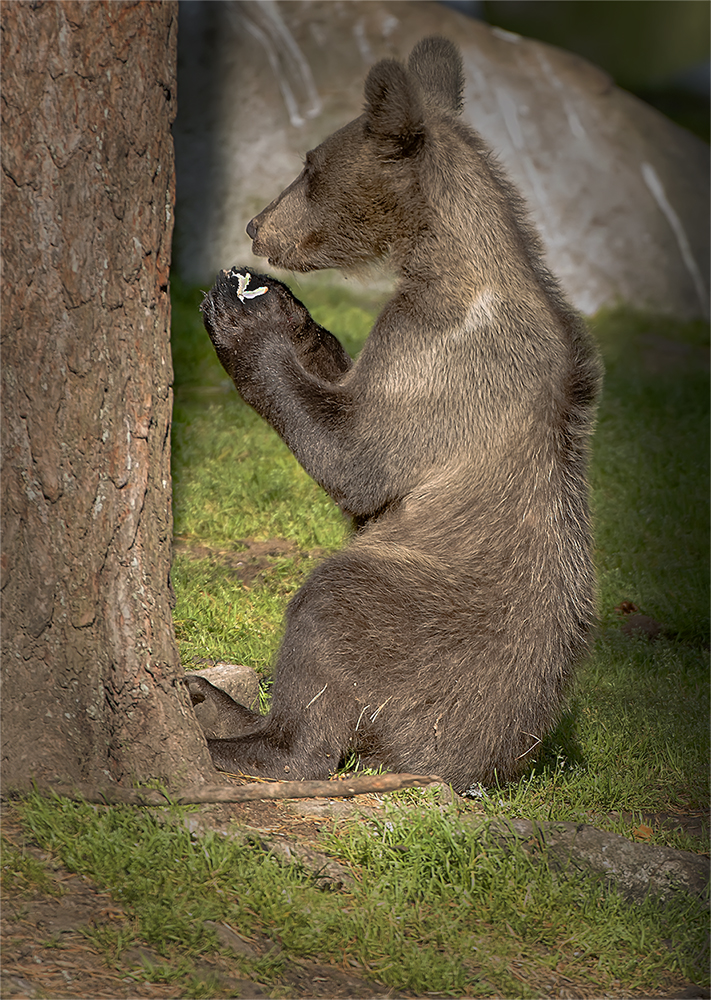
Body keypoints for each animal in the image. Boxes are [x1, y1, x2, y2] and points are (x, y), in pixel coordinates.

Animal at [186, 35, 604, 792]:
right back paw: (209, 698)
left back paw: (241, 738)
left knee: (332, 615)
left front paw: (247, 318)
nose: (256, 225)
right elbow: (346, 394)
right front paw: (293, 317)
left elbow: (357, 459)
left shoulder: (449, 360)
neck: (440, 263)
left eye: (308, 167)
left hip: (426, 631)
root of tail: (479, 764)